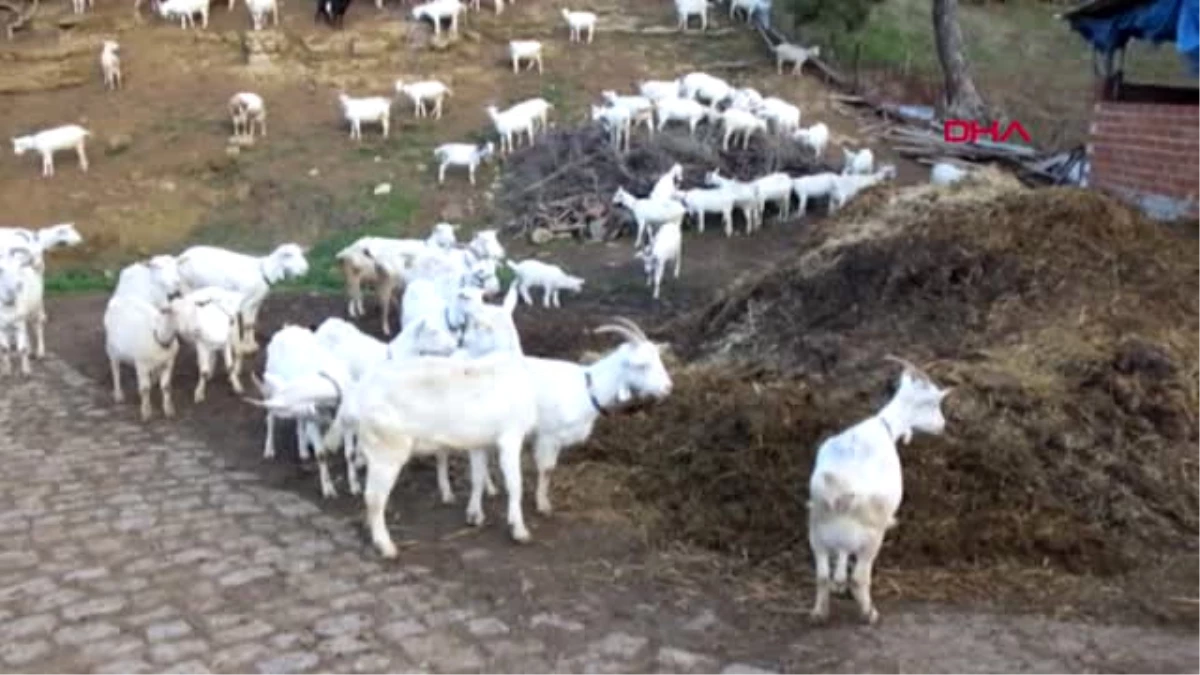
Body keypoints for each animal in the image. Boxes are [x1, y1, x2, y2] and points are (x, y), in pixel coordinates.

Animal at [176, 243, 312, 355]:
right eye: (289, 255)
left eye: (301, 253)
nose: (306, 269)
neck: (262, 272)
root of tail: (182, 255)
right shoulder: (245, 303)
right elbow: (246, 324)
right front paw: (245, 348)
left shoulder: (256, 302)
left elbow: (251, 324)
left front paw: (252, 345)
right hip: (186, 286)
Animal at [811, 355, 950, 624]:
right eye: (934, 403)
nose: (943, 425)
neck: (885, 426)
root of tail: (839, 489)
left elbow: (841, 556)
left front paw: (839, 582)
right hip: (871, 536)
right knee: (860, 577)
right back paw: (869, 614)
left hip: (817, 533)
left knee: (821, 575)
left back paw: (820, 612)